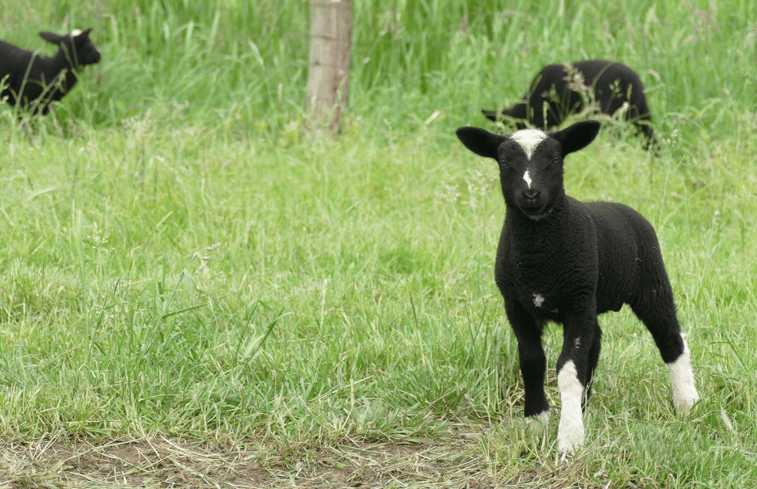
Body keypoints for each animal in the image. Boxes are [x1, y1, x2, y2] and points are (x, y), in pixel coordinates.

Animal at [454, 120, 696, 456]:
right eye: (503, 162)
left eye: (555, 160)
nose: (531, 193)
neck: (538, 255)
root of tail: (620, 207)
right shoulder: (516, 304)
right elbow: (532, 360)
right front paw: (537, 420)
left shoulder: (576, 301)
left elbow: (568, 369)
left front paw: (569, 438)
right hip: (592, 300)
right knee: (595, 344)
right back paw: (583, 407)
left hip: (649, 284)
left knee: (671, 338)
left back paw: (686, 402)